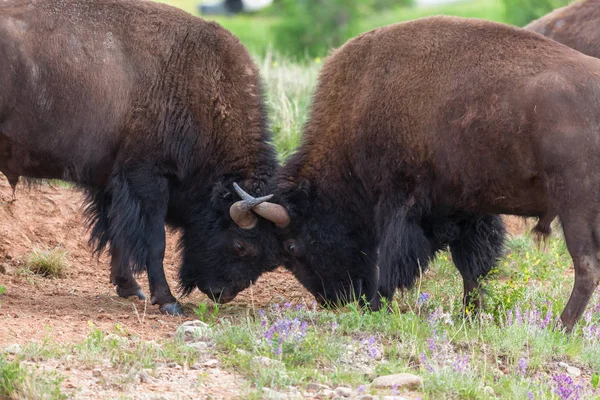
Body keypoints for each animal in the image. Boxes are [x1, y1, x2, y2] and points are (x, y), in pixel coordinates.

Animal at [0, 0, 288, 314]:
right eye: (240, 246)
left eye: (271, 260)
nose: (220, 293)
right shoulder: (148, 178)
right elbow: (154, 241)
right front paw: (168, 301)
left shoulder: (110, 183)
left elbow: (117, 233)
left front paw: (128, 286)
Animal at [274, 15, 600, 332]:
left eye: (292, 246)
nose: (333, 300)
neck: (359, 103)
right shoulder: (466, 211)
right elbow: (471, 268)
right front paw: (469, 317)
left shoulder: (398, 203)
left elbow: (392, 261)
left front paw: (378, 306)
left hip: (574, 207)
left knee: (586, 267)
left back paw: (559, 328)